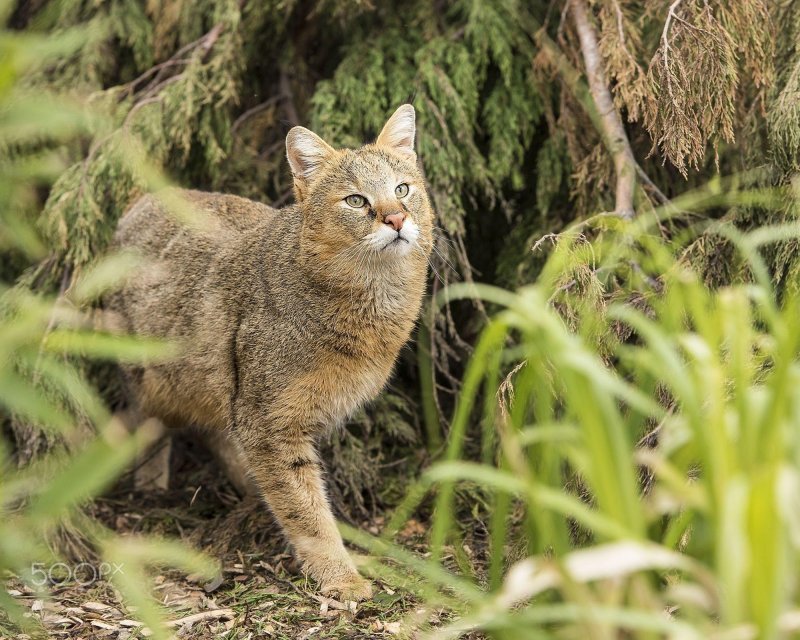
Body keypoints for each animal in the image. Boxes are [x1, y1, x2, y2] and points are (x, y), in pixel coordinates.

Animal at [106, 105, 434, 600]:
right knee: (156, 422)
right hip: (156, 376)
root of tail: (140, 204)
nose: (396, 219)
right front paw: (339, 577)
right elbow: (306, 510)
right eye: (356, 201)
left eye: (402, 189)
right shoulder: (268, 423)